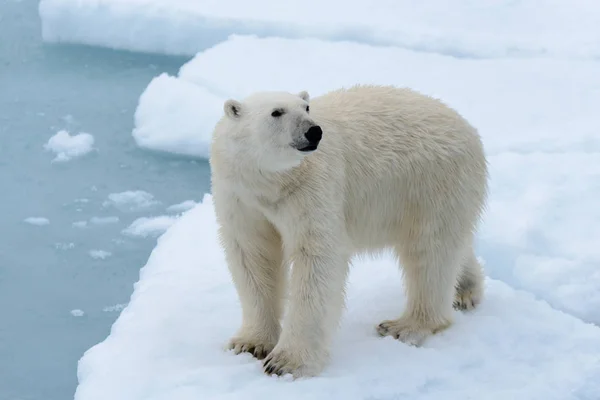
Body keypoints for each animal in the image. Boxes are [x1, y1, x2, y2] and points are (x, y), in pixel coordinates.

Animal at [210, 84, 488, 378]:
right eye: (277, 112)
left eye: (306, 107)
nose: (314, 131)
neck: (273, 183)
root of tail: (468, 128)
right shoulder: (241, 196)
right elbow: (253, 256)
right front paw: (249, 343)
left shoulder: (312, 187)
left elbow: (316, 258)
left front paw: (286, 362)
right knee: (451, 246)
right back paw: (464, 291)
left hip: (433, 181)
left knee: (430, 253)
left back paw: (405, 325)